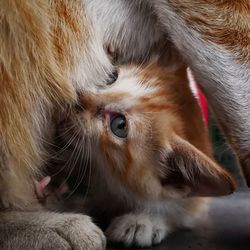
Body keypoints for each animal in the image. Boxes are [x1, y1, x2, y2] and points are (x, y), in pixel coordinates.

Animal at [46, 61, 235, 248]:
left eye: (119, 125)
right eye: (111, 77)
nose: (77, 99)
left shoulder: (195, 201)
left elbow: (180, 206)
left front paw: (143, 220)